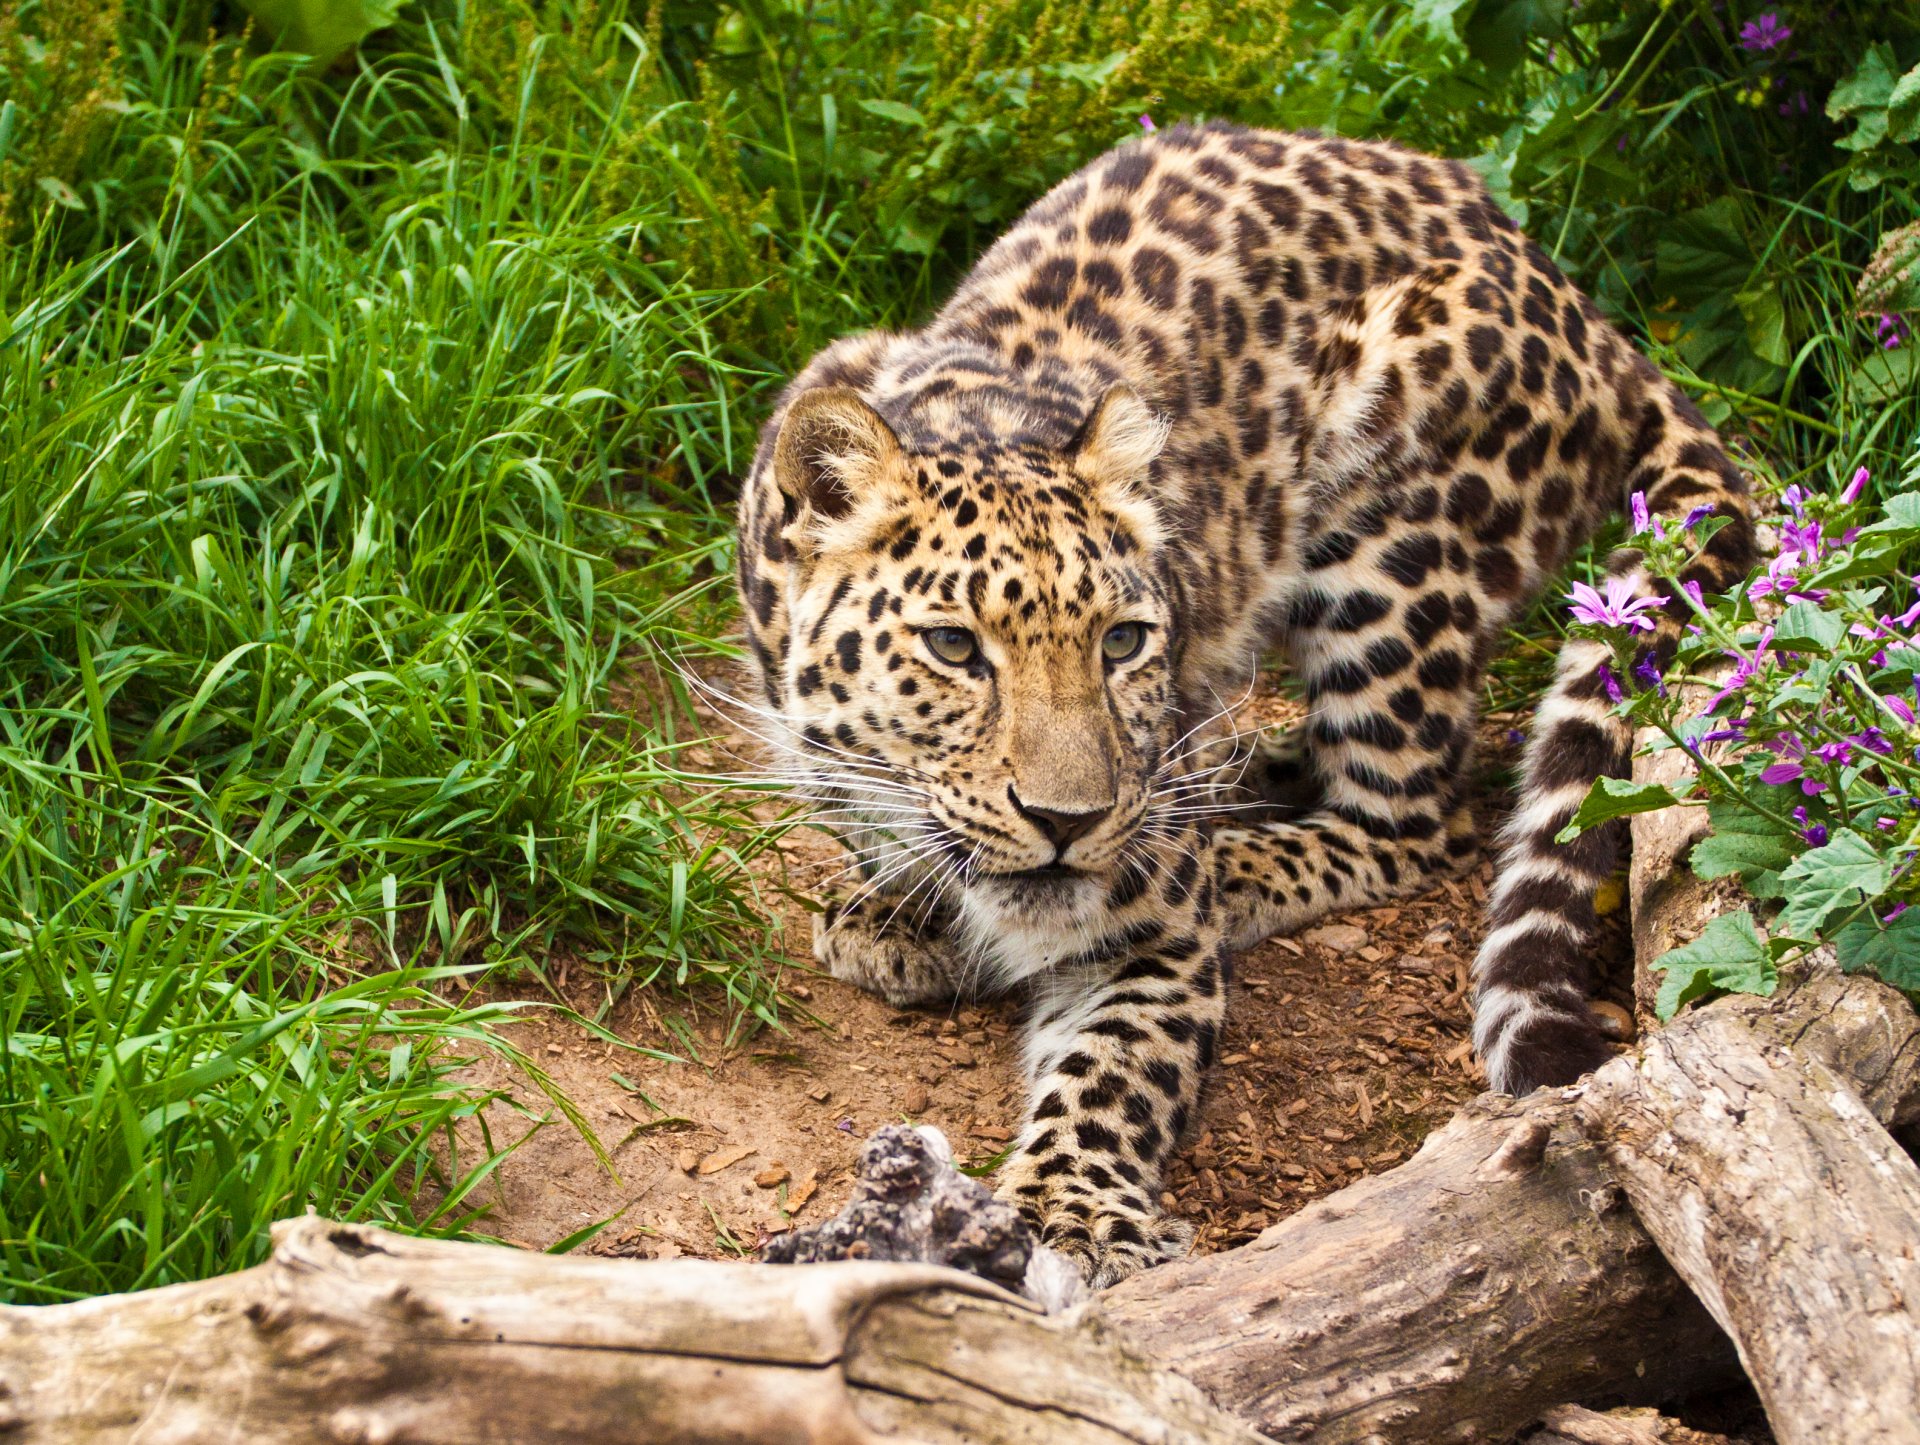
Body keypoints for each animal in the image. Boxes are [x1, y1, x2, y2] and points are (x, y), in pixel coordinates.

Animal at [733, 121, 1756, 1288]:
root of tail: (1585, 310)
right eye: (955, 647)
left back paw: (1240, 853)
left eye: (1122, 641)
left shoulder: (1155, 940)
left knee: (1414, 820)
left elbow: (1111, 1072)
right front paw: (894, 904)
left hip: (1393, 548)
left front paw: (1073, 1211)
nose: (1071, 822)